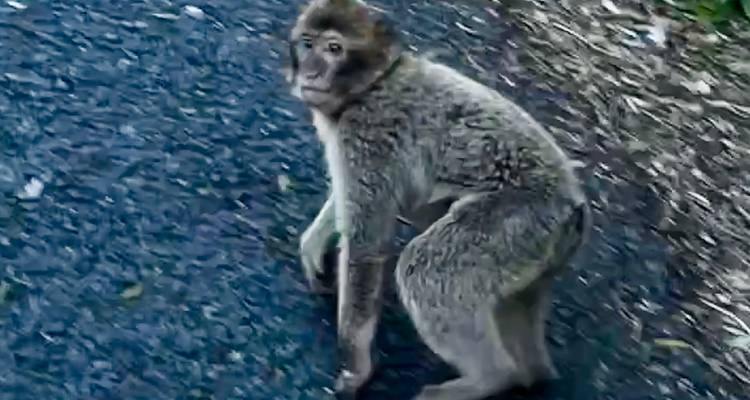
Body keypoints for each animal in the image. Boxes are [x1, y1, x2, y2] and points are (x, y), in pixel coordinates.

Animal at [287, 1, 591, 399]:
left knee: (425, 268)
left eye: (333, 49)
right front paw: (314, 244)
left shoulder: (368, 132)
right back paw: (531, 374)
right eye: (307, 44)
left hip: (520, 218)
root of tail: (574, 209)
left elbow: (367, 245)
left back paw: (493, 377)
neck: (375, 83)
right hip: (534, 249)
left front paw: (357, 365)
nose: (310, 70)